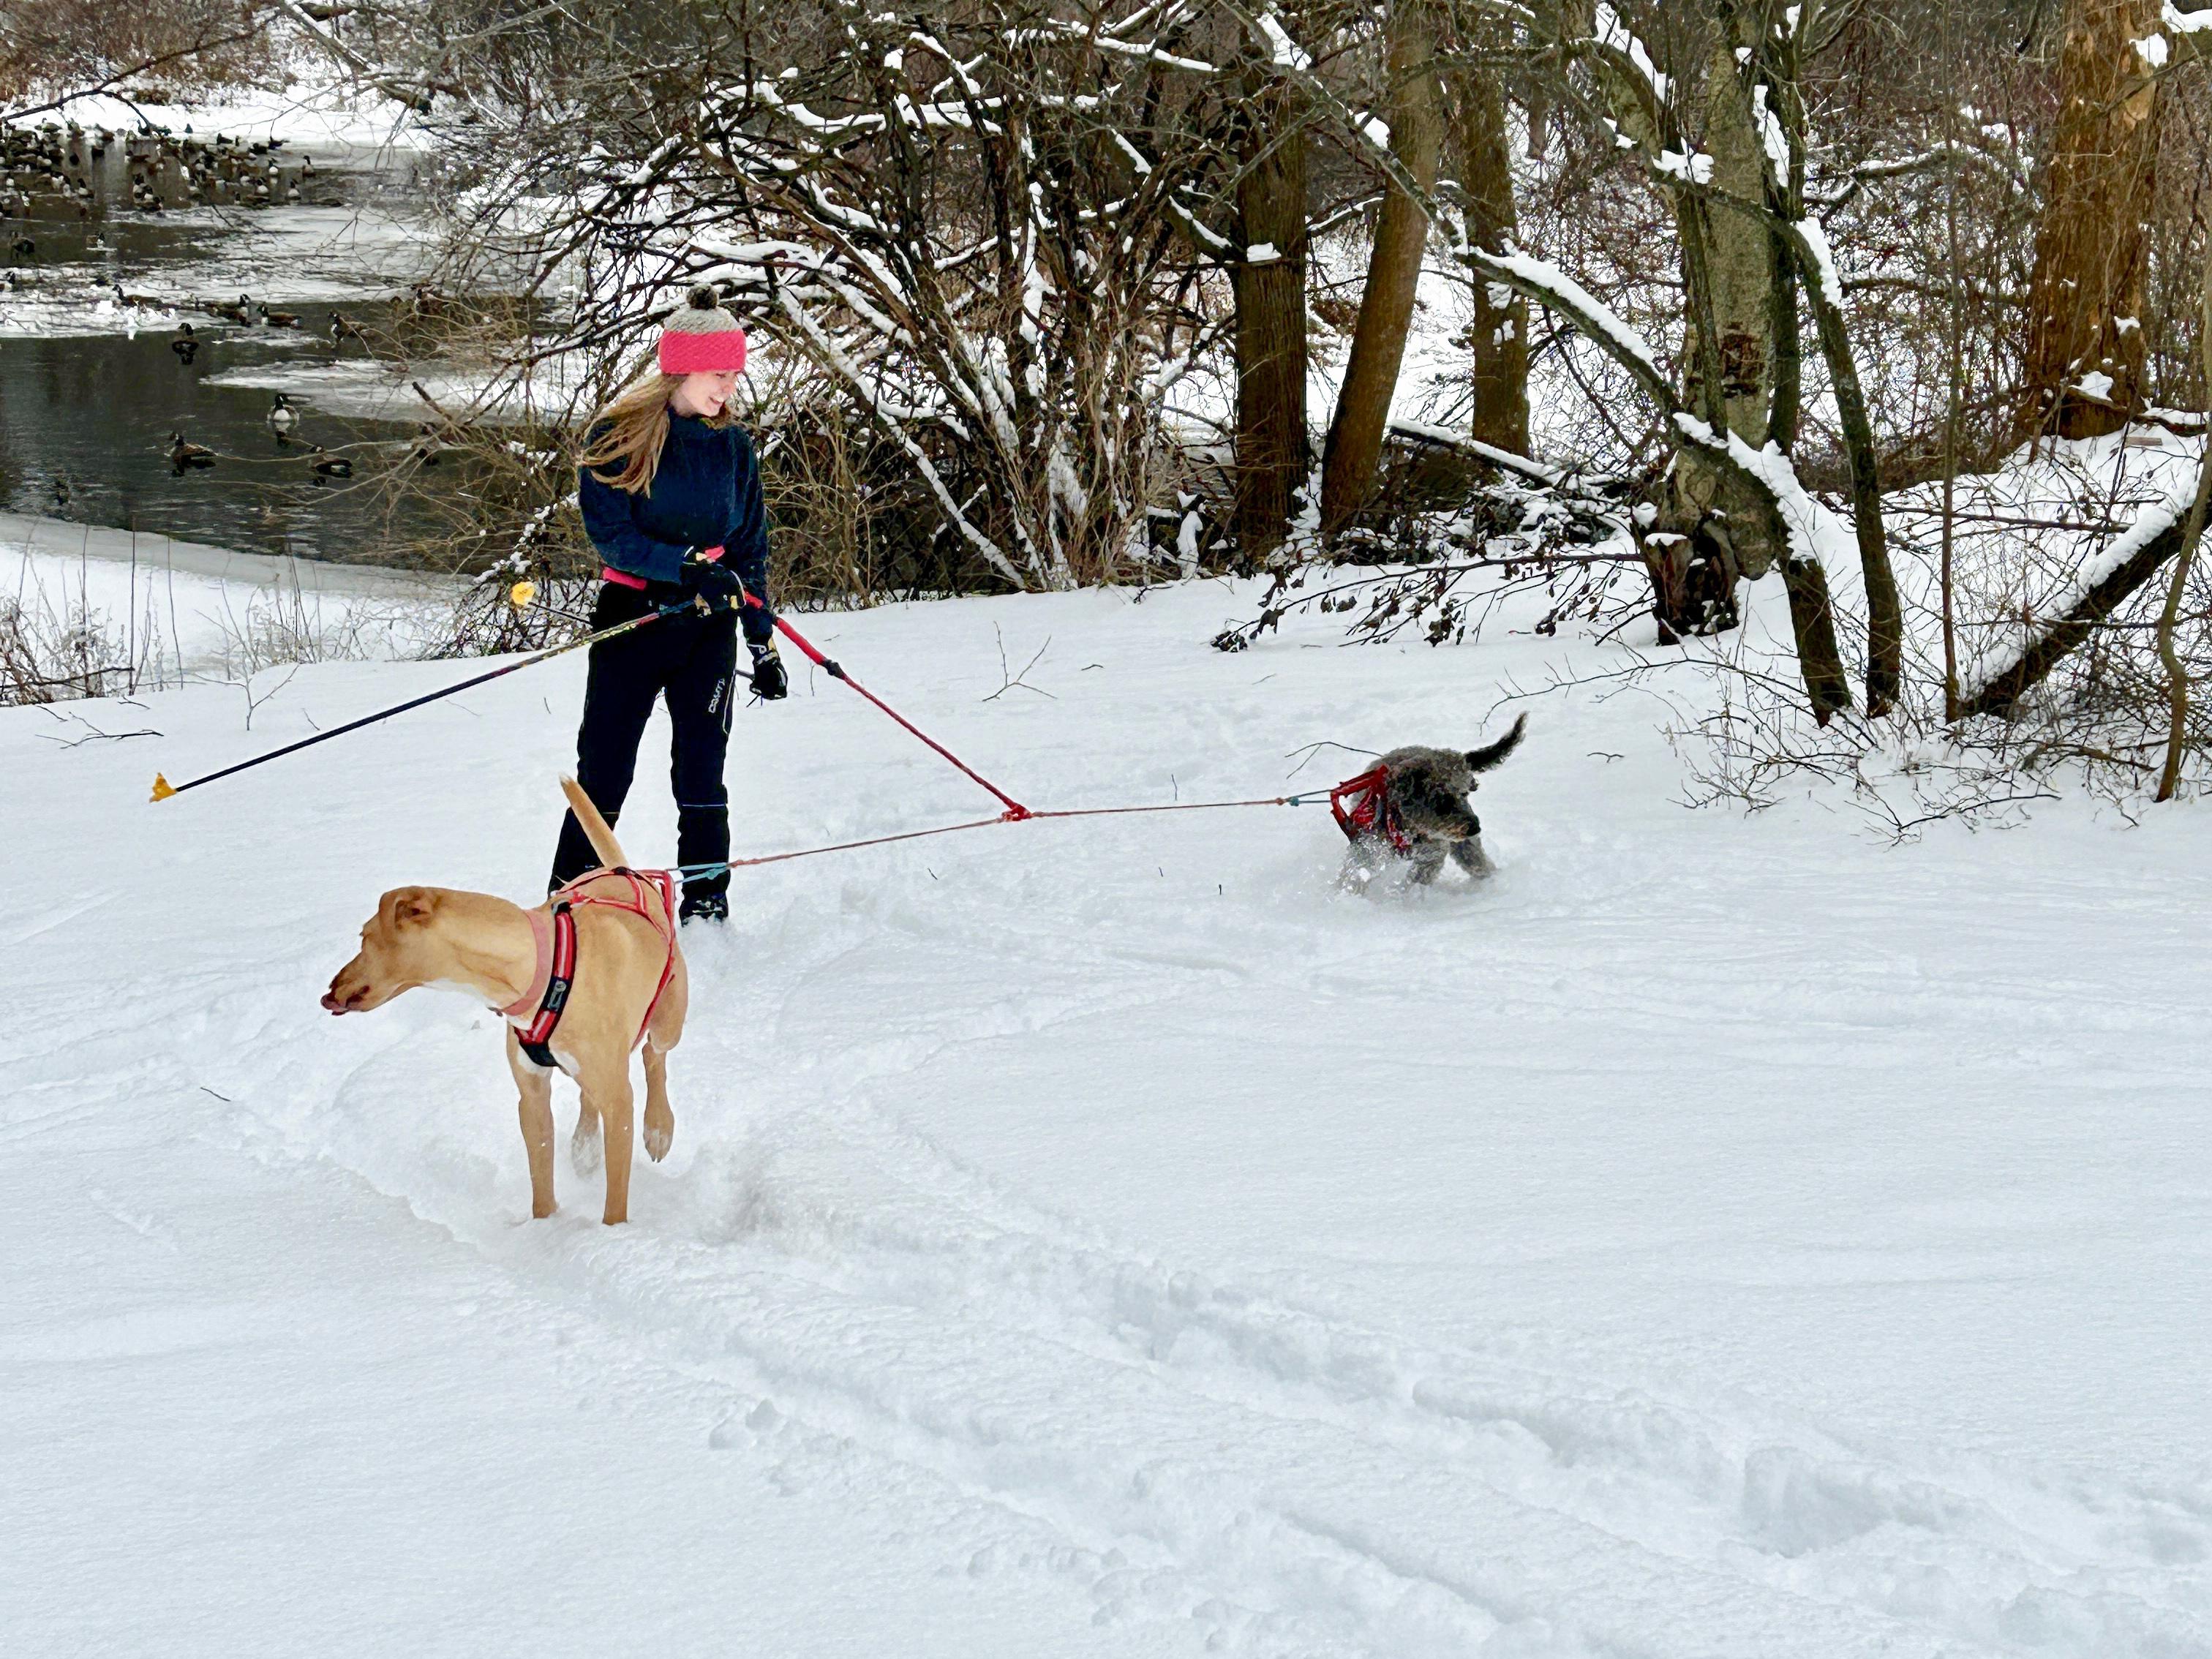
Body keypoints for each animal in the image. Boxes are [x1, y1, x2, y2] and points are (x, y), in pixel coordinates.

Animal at [316, 778, 685, 1221]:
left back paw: (659, 1128)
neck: (545, 968)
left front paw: (615, 1232)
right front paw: (544, 1228)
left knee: (654, 1056)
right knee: (590, 1093)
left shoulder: (619, 1102)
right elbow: (541, 1178)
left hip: (668, 1017)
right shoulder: (532, 1096)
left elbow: (616, 1197)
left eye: (364, 937)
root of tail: (624, 872)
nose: (328, 992)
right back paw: (584, 1148)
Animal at [1336, 716, 1530, 898]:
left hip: (1464, 848)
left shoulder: (1433, 853)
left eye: (1464, 794)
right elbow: (1354, 875)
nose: (1475, 827)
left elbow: (1416, 880)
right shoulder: (1367, 848)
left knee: (1478, 862)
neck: (1404, 828)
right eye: (1441, 800)